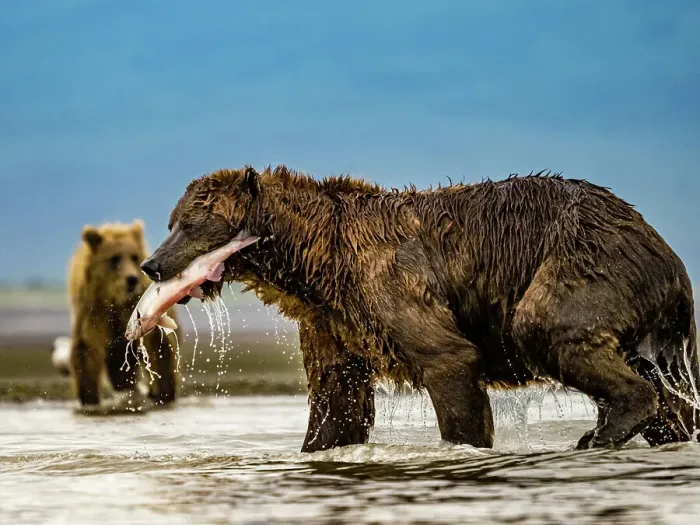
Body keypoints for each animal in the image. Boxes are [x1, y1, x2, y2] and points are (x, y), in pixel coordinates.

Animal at [67, 219, 181, 408]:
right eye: (114, 258)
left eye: (134, 257)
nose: (131, 279)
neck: (116, 300)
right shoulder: (94, 310)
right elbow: (87, 346)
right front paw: (89, 397)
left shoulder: (138, 307)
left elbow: (158, 344)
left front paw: (164, 392)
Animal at [139, 165, 698, 452]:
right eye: (172, 221)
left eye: (192, 222)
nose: (152, 265)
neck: (315, 261)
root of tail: (668, 255)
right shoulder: (334, 320)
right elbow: (335, 398)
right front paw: (320, 446)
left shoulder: (390, 281)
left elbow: (448, 360)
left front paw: (464, 446)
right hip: (646, 317)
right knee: (668, 387)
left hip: (584, 261)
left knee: (545, 326)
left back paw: (597, 434)